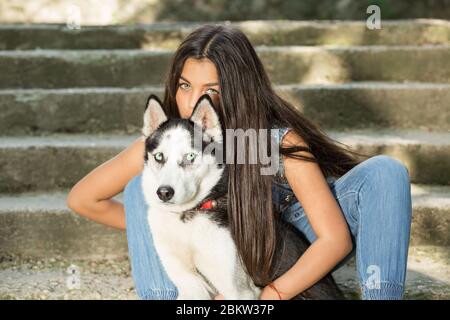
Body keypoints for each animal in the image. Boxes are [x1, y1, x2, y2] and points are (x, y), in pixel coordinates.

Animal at [141, 93, 344, 300]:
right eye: (159, 156)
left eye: (190, 156)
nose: (164, 192)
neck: (187, 218)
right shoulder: (189, 284)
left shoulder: (239, 291)